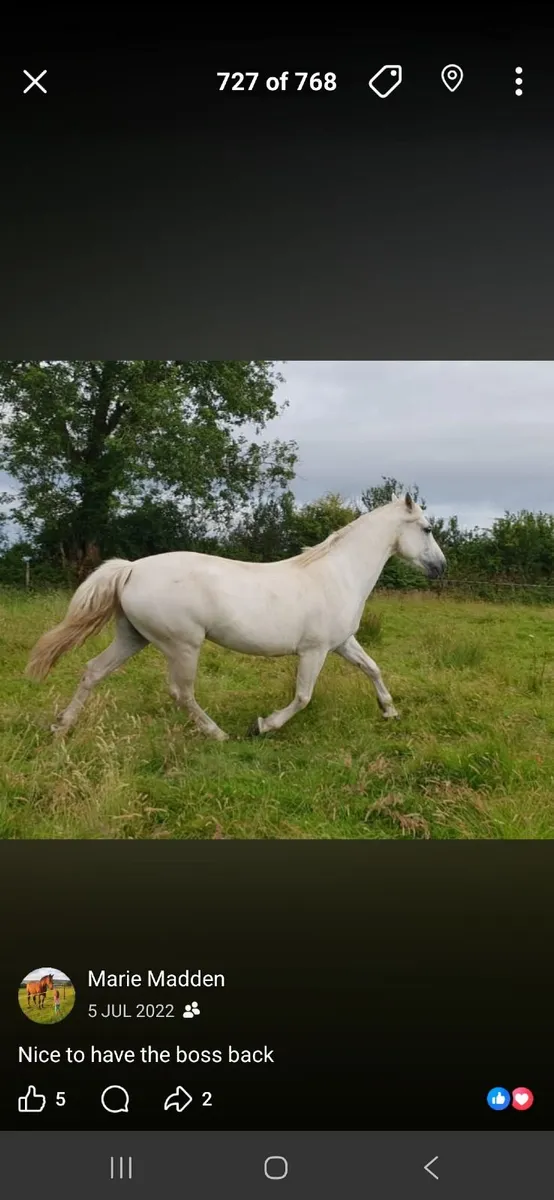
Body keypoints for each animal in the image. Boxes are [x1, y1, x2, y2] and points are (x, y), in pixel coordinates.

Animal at [25, 494, 446, 742]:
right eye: (427, 528)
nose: (441, 567)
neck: (338, 573)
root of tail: (131, 569)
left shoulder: (342, 643)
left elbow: (372, 668)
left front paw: (389, 711)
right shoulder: (315, 651)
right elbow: (303, 696)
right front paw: (263, 725)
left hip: (133, 638)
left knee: (93, 671)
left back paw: (62, 726)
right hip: (183, 645)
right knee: (181, 692)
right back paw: (218, 734)